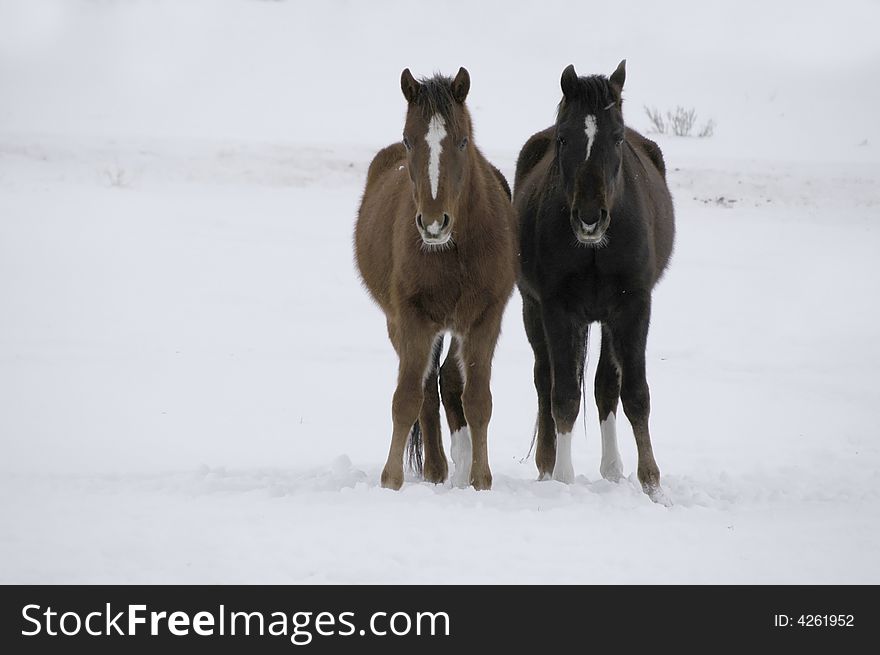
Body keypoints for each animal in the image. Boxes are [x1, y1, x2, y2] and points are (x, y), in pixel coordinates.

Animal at [354, 69, 516, 492]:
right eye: (410, 140)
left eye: (462, 140)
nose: (432, 223)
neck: (454, 251)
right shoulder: (413, 318)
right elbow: (407, 398)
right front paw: (390, 480)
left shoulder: (484, 320)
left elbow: (477, 400)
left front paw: (480, 479)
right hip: (401, 324)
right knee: (426, 388)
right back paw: (435, 468)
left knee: (447, 382)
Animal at [516, 61, 672, 502]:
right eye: (563, 138)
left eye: (616, 137)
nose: (589, 217)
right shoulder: (557, 309)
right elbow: (565, 395)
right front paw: (563, 478)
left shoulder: (633, 307)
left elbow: (634, 394)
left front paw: (652, 484)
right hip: (533, 310)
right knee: (545, 380)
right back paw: (547, 467)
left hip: (607, 319)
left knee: (606, 386)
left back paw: (614, 470)